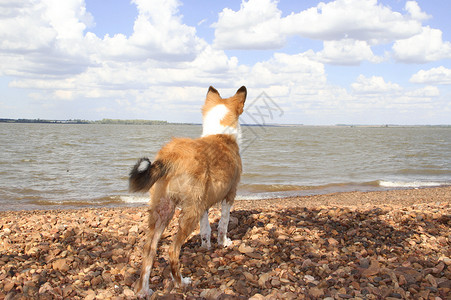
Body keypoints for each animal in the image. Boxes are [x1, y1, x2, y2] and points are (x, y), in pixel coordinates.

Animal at [129, 85, 247, 296]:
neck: (221, 134)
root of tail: (171, 156)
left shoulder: (204, 204)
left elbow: (206, 229)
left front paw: (206, 245)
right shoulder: (229, 195)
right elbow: (223, 225)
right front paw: (223, 243)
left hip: (164, 210)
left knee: (149, 250)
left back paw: (144, 290)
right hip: (188, 212)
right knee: (172, 250)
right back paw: (181, 282)